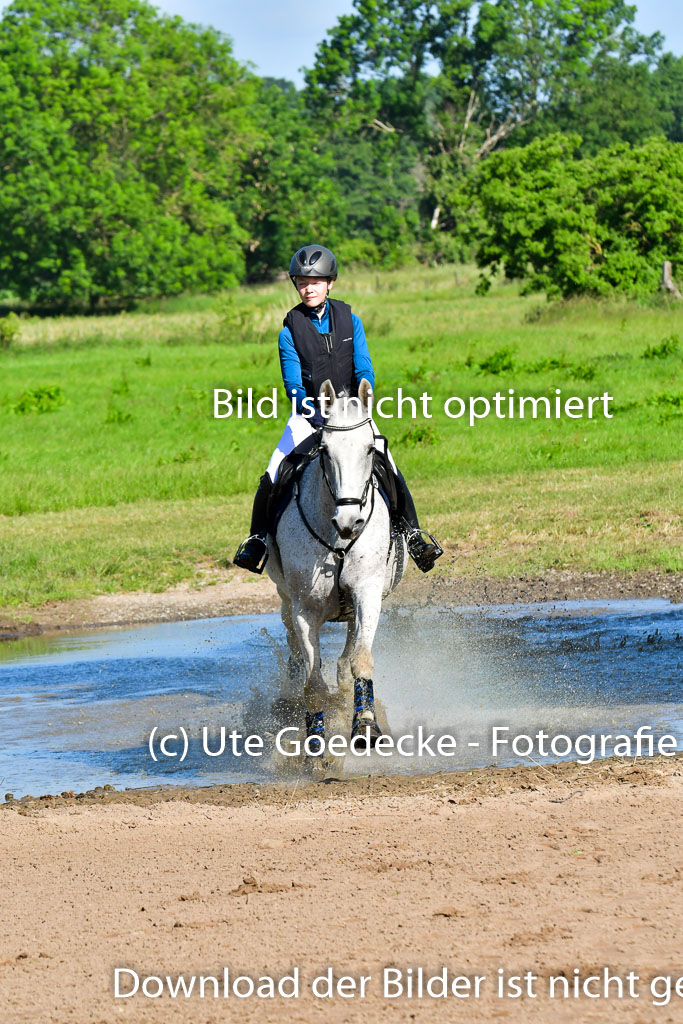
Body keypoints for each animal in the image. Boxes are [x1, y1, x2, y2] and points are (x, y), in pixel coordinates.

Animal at [266, 380, 405, 757]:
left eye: (370, 449)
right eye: (325, 451)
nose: (349, 522)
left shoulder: (367, 592)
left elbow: (360, 659)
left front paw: (366, 724)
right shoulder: (304, 609)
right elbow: (313, 683)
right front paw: (316, 744)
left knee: (347, 653)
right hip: (286, 598)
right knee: (295, 649)